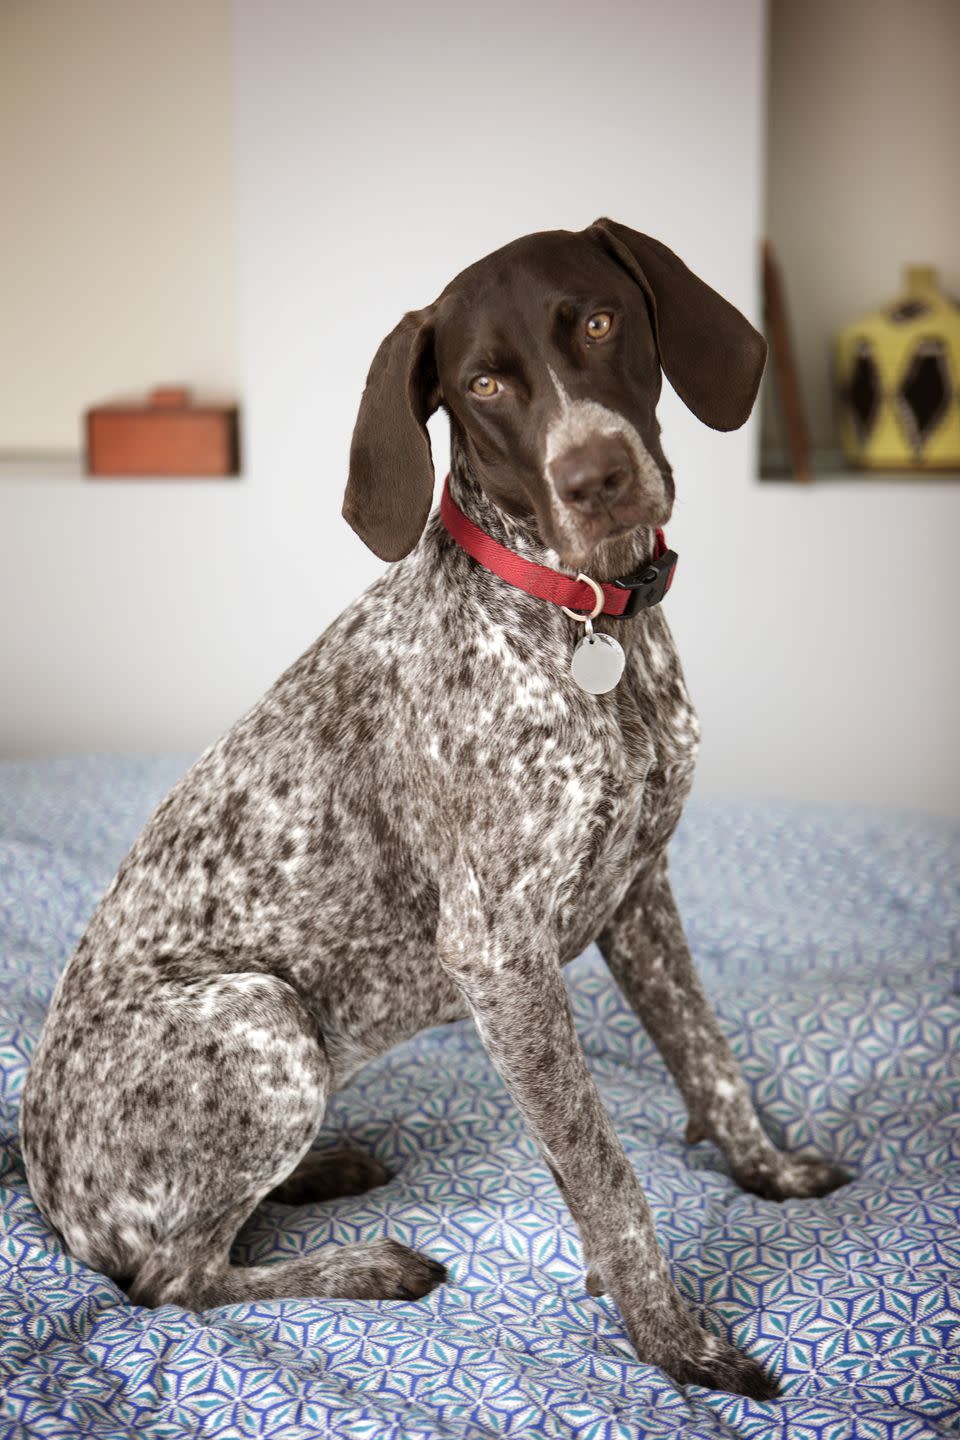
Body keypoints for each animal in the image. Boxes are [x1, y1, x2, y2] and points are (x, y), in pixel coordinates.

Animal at [20, 221, 846, 1393]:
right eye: (485, 385)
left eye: (600, 322)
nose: (597, 475)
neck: (586, 621)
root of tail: (41, 1188)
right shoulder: (501, 954)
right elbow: (606, 1176)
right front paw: (672, 1341)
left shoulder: (639, 890)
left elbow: (711, 1059)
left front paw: (764, 1170)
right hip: (262, 1016)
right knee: (167, 1279)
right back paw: (366, 1264)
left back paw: (323, 1169)